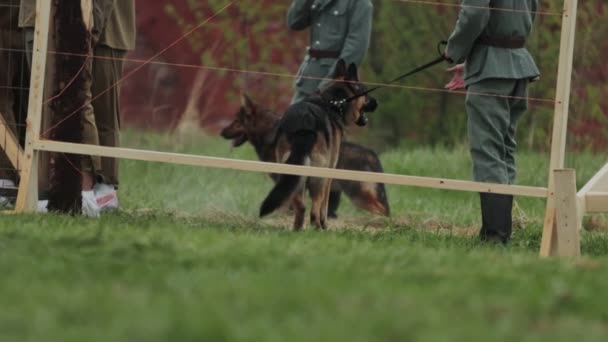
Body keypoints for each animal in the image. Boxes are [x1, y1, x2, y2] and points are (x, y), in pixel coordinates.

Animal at [222, 92, 390, 219]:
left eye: (236, 121)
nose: (221, 132)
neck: (268, 132)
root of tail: (371, 153)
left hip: (358, 193)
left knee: (381, 209)